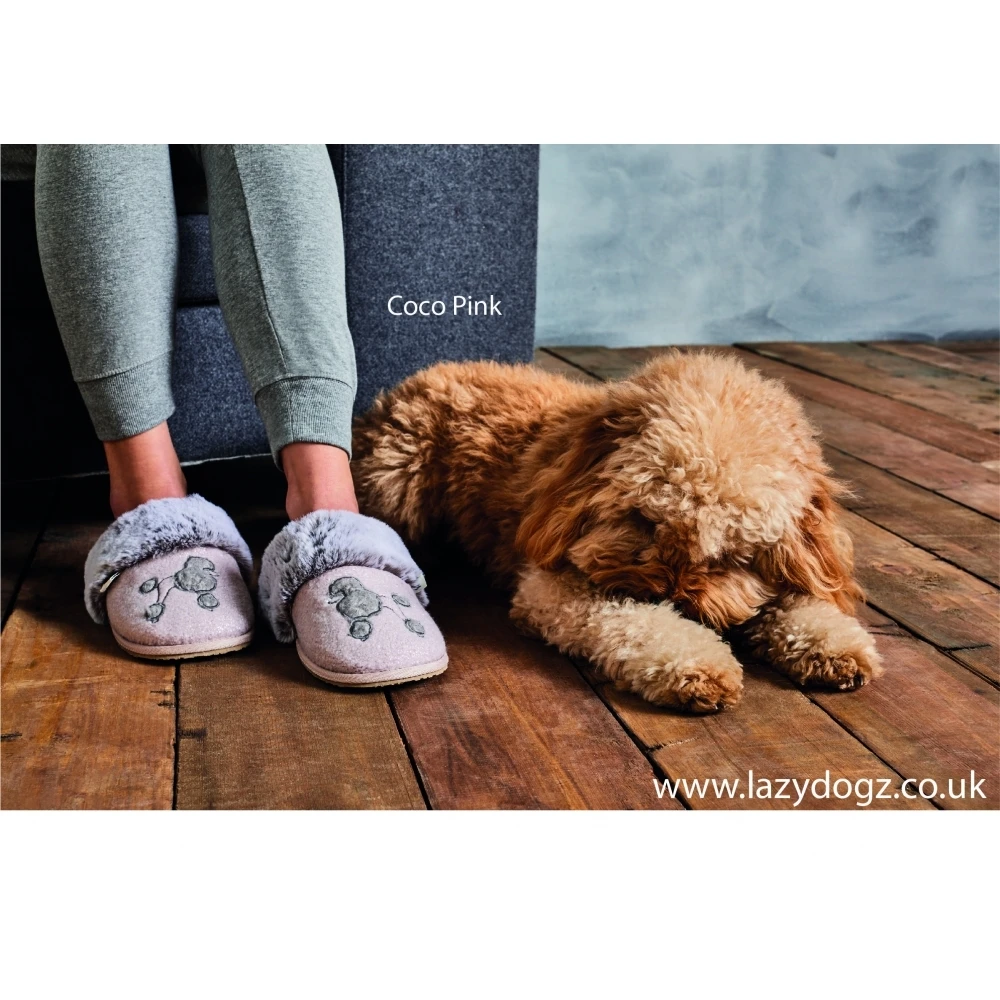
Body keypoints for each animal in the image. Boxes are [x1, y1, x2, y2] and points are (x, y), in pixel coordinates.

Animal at [352, 350, 882, 713]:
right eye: (645, 519)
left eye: (733, 555)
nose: (673, 597)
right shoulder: (551, 587)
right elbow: (630, 621)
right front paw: (697, 664)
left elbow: (799, 601)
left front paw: (834, 644)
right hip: (398, 479)